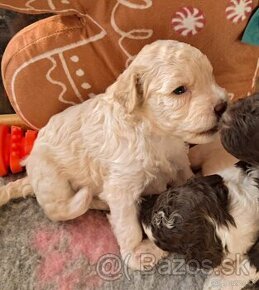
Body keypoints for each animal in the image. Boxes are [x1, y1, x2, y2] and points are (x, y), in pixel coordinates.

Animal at [0, 39, 228, 268]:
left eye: (211, 76)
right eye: (179, 90)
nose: (223, 106)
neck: (155, 133)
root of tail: (30, 175)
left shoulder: (178, 159)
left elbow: (186, 178)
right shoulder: (122, 187)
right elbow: (128, 226)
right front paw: (137, 253)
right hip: (52, 180)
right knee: (59, 209)